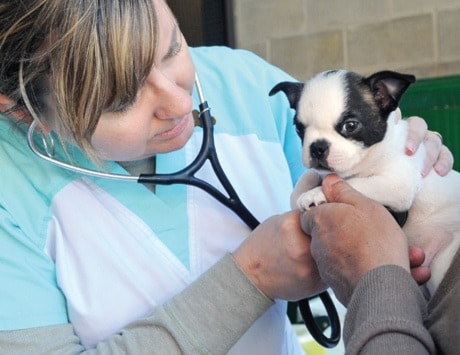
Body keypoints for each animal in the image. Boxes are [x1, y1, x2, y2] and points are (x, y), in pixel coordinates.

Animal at [270, 70, 460, 298]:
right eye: (299, 129)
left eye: (350, 126)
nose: (317, 147)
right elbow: (306, 178)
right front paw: (303, 191)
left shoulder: (396, 183)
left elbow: (357, 183)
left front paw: (315, 193)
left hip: (443, 260)